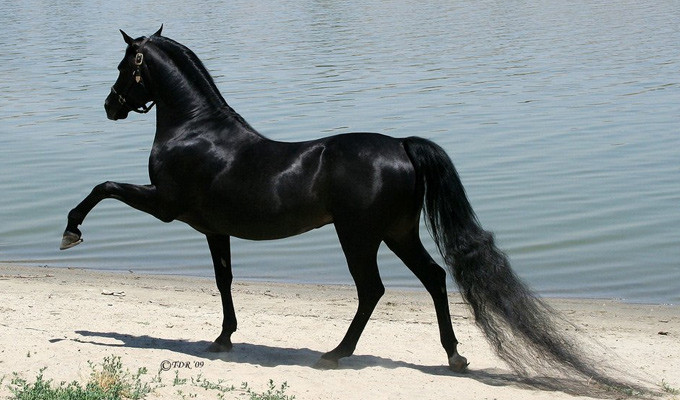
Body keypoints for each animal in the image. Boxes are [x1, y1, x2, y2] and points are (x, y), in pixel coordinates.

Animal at [60, 27, 628, 384]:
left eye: (123, 65)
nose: (110, 106)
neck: (197, 130)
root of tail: (401, 144)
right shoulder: (213, 229)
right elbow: (224, 280)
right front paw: (223, 338)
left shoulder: (166, 205)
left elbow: (103, 186)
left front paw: (71, 231)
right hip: (397, 234)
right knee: (434, 278)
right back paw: (454, 357)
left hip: (359, 236)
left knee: (372, 290)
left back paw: (337, 354)